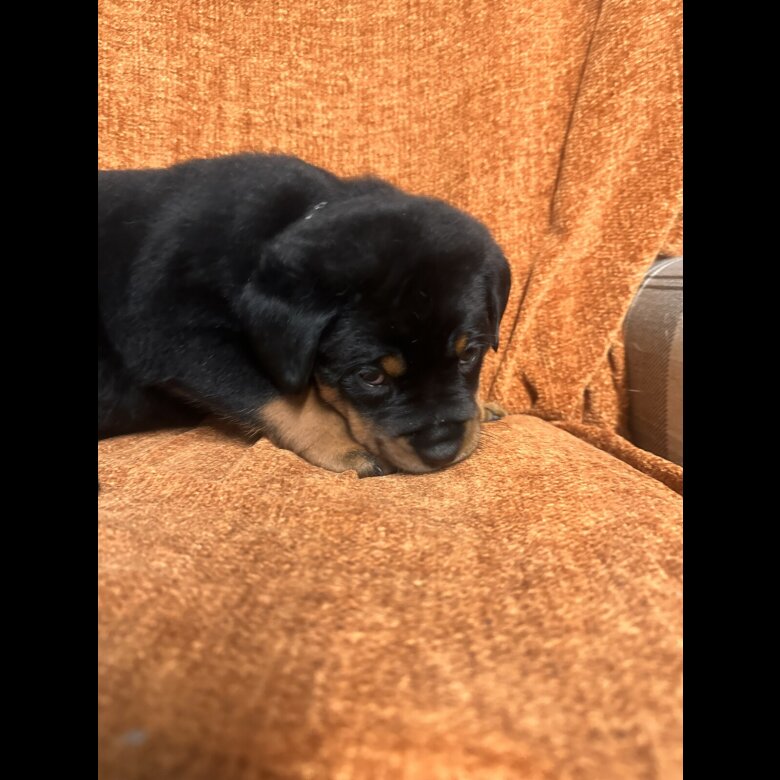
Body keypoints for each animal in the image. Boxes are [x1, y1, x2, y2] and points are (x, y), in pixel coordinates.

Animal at [98, 153, 511, 477]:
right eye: (370, 376)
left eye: (469, 354)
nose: (442, 450)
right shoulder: (172, 334)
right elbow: (277, 396)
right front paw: (344, 443)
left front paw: (481, 404)